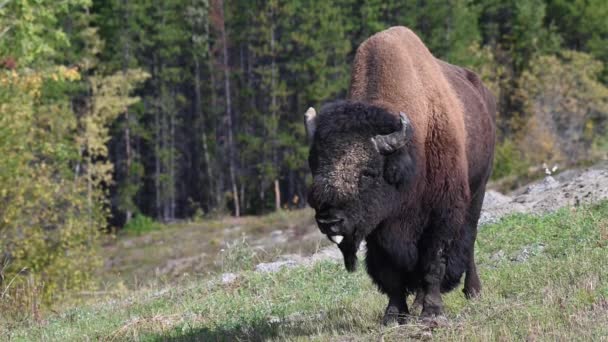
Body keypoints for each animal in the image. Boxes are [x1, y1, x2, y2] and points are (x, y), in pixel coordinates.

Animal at [304, 26, 494, 324]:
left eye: (368, 172)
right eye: (314, 165)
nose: (329, 220)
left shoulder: (441, 215)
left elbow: (433, 262)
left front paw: (433, 312)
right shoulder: (378, 227)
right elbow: (391, 272)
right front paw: (394, 314)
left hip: (478, 190)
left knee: (470, 240)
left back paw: (472, 291)